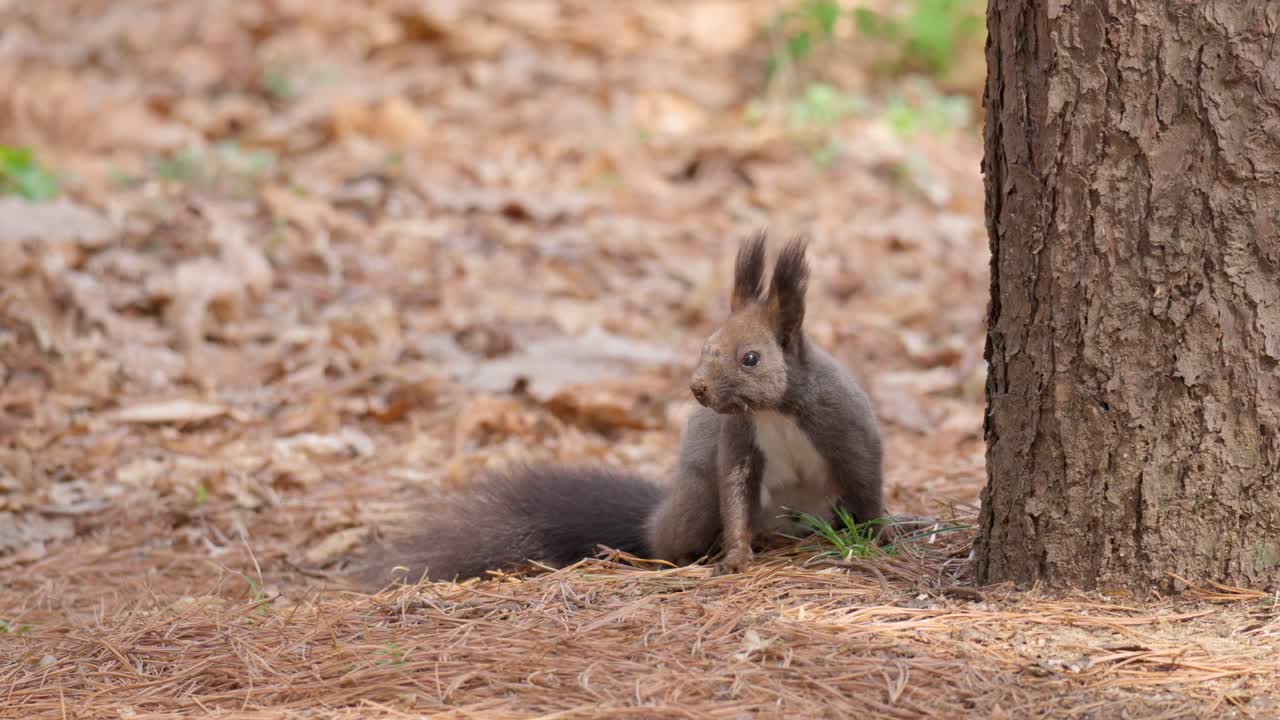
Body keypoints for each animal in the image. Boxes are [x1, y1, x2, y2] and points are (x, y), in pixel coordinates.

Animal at [360, 231, 886, 585]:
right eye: (706, 345)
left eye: (751, 358)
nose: (698, 390)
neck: (774, 412)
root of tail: (655, 519)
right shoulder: (737, 439)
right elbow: (735, 493)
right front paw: (736, 556)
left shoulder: (841, 424)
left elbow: (866, 477)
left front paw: (879, 534)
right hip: (695, 503)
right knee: (674, 540)